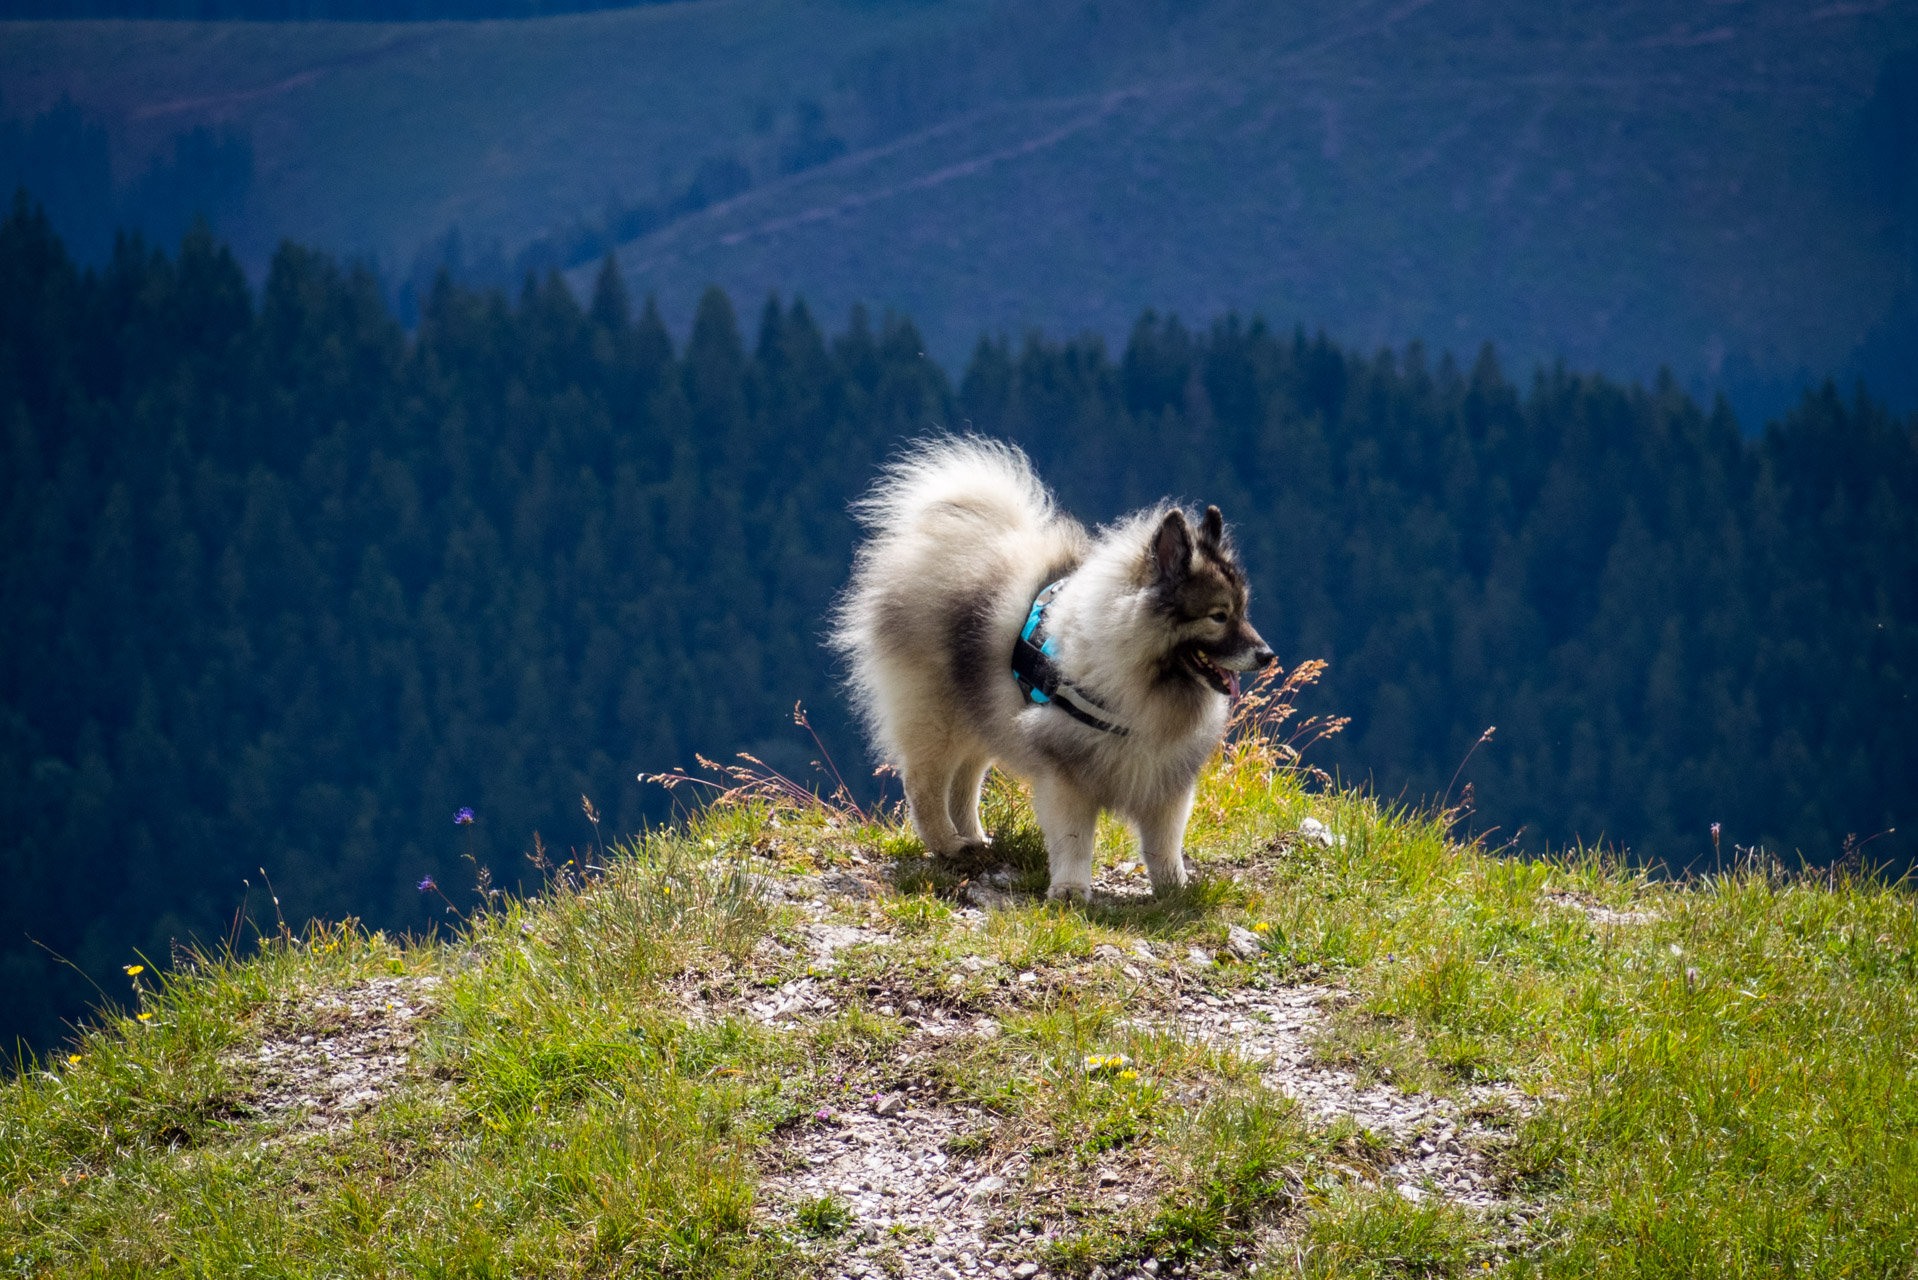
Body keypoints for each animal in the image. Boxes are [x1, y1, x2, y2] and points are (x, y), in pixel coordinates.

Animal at [836, 435, 1273, 898]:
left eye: (1242, 611)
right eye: (1218, 616)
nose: (1267, 655)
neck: (1138, 681)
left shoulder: (1165, 781)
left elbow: (1163, 844)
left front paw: (1173, 888)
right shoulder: (1067, 775)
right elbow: (1074, 839)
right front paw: (1069, 890)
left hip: (984, 714)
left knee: (964, 781)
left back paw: (974, 840)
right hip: (939, 718)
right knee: (925, 784)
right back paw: (948, 844)